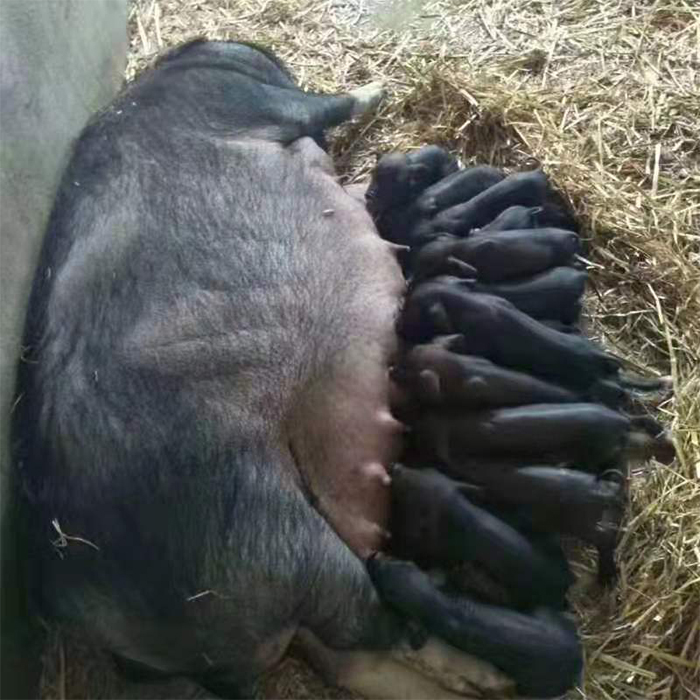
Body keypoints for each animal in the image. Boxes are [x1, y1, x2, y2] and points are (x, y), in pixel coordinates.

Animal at [12, 39, 580, 700]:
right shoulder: (260, 102)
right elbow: (329, 104)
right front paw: (378, 87)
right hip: (270, 537)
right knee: (378, 620)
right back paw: (492, 675)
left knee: (352, 656)